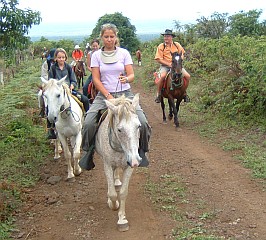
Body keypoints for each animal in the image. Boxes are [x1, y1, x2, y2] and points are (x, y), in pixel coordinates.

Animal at [95, 93, 142, 231]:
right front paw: (113, 204)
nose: (136, 161)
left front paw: (122, 219)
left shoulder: (129, 167)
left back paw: (116, 181)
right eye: (120, 130)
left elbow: (122, 193)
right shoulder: (107, 165)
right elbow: (112, 194)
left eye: (138, 126)